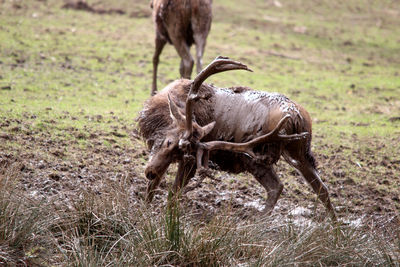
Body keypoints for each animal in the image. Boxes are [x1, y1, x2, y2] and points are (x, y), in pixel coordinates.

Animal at [138, 57, 338, 222]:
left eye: (171, 143)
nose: (149, 172)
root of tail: (295, 116)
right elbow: (153, 188)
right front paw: (146, 210)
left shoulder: (192, 161)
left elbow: (171, 192)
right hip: (299, 150)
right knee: (322, 188)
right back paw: (336, 231)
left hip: (257, 154)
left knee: (277, 186)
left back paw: (255, 221)